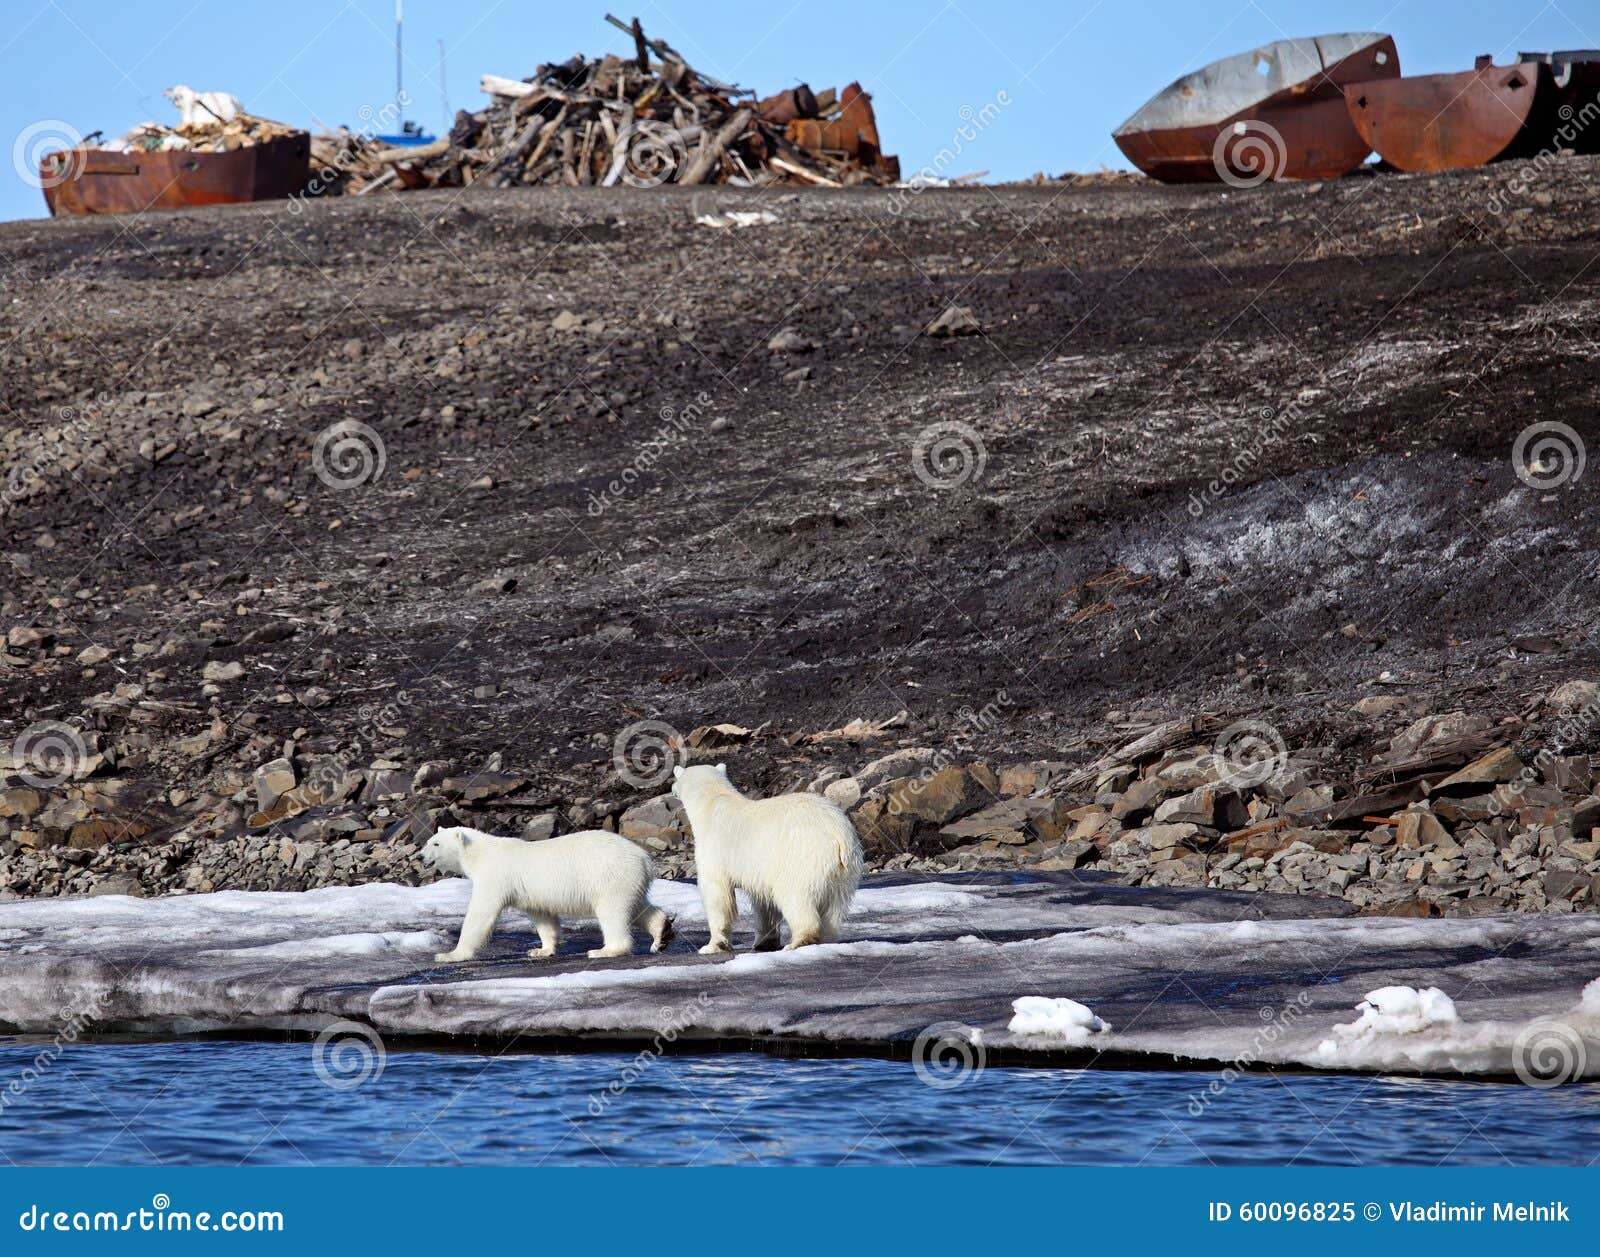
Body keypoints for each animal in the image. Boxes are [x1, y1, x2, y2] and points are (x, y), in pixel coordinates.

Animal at [420, 826, 673, 962]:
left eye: (436, 844)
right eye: (428, 841)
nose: (420, 856)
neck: (480, 853)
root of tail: (644, 858)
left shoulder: (495, 876)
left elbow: (481, 913)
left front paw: (450, 954)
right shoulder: (529, 892)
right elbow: (542, 916)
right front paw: (541, 950)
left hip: (609, 876)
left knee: (613, 912)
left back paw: (605, 950)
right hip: (629, 880)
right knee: (637, 906)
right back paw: (661, 934)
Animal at [671, 764, 862, 953]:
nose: (672, 789)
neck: (711, 802)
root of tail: (838, 835)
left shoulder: (714, 849)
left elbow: (716, 894)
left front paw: (712, 945)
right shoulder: (761, 866)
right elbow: (763, 901)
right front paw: (764, 942)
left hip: (802, 857)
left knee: (794, 896)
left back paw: (799, 941)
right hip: (844, 871)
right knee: (834, 908)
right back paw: (827, 937)